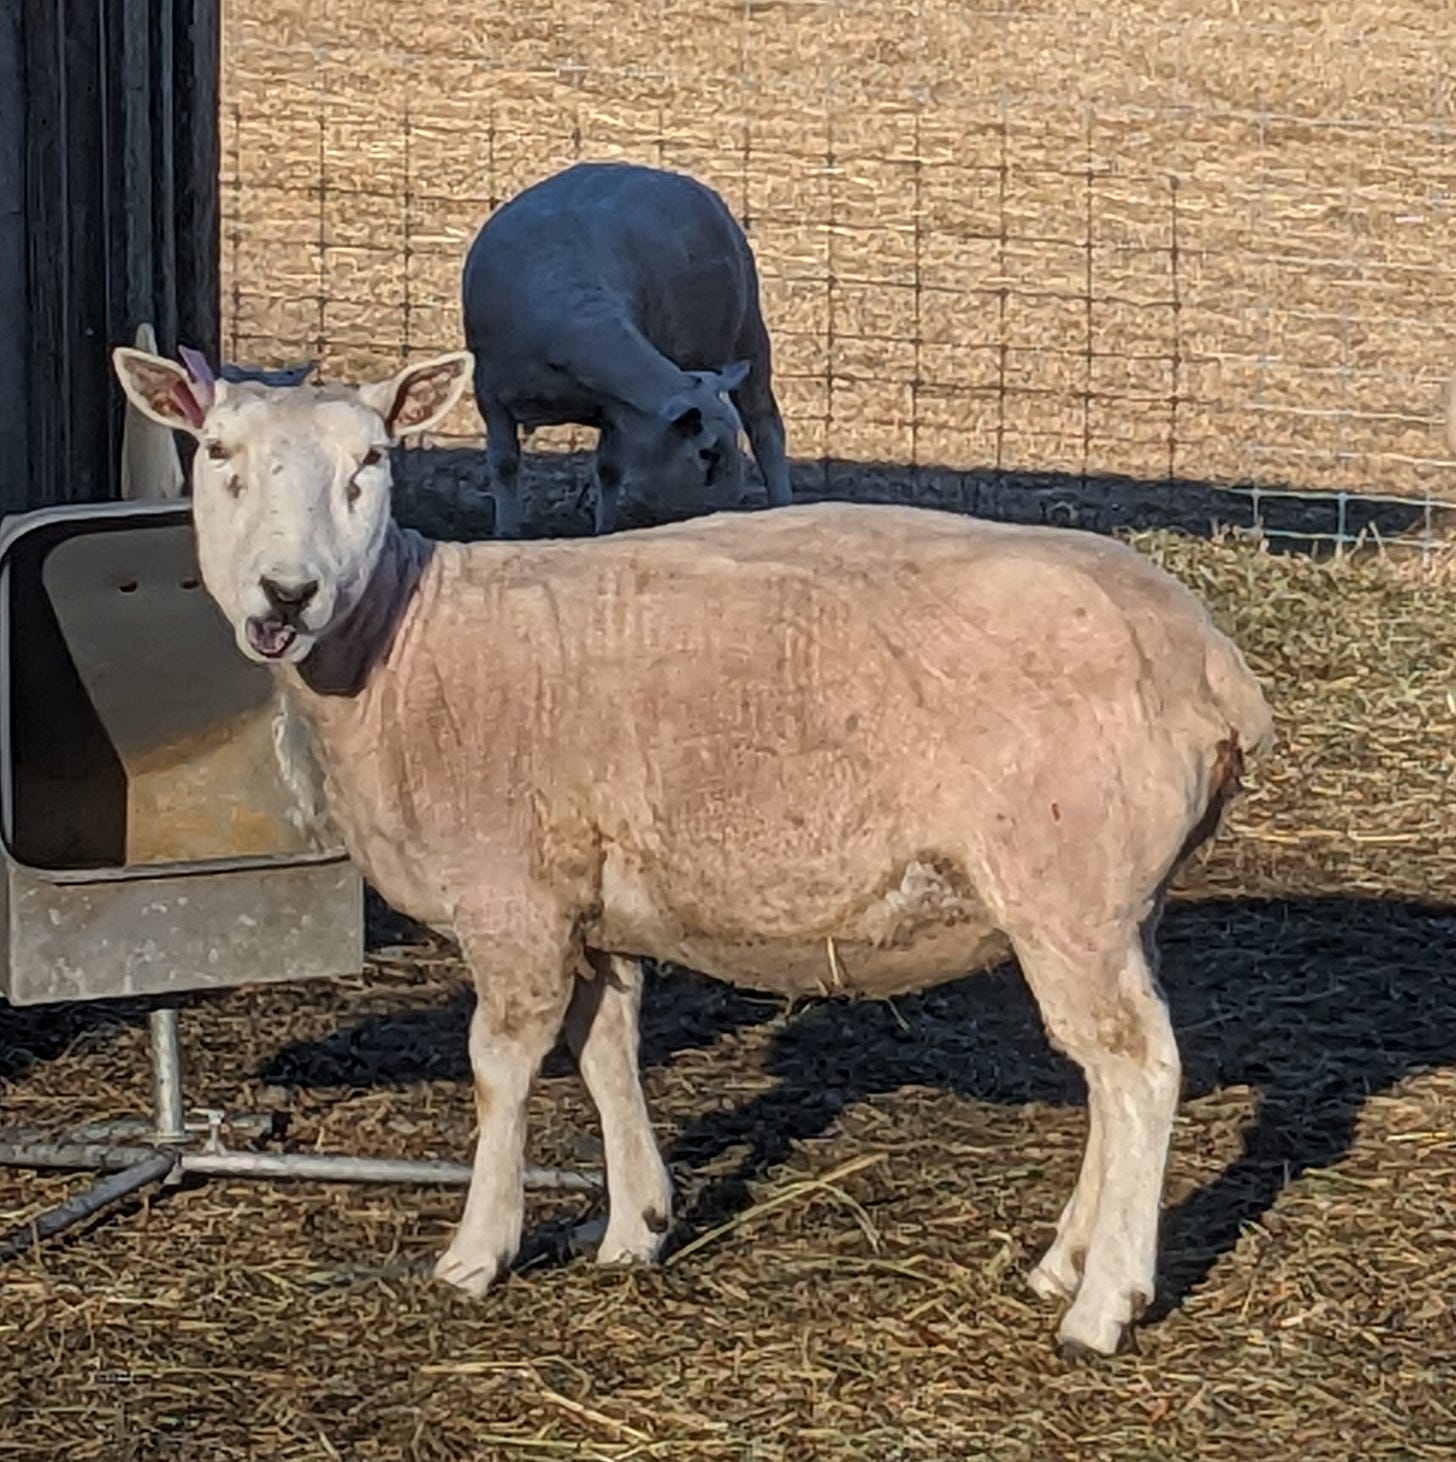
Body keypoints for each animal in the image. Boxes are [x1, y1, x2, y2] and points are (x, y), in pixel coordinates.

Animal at [111, 343, 1274, 1358]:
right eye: (216, 452)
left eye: (373, 463)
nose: (287, 594)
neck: (404, 646)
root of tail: (1212, 663)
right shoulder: (589, 901)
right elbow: (606, 1050)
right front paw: (637, 1228)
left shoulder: (511, 896)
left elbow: (501, 1067)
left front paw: (477, 1252)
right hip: (1119, 898)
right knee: (1113, 1071)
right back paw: (1062, 1263)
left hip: (1066, 884)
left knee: (1137, 1068)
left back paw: (1103, 1305)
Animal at [462, 161, 793, 537]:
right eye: (707, 454)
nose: (731, 502)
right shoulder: (490, 394)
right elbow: (504, 465)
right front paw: (506, 533)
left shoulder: (615, 408)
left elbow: (609, 471)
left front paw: (605, 532)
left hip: (749, 331)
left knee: (765, 428)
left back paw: (783, 505)